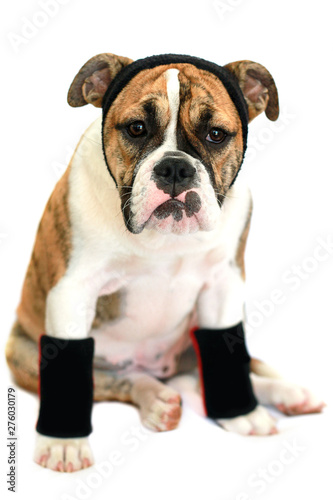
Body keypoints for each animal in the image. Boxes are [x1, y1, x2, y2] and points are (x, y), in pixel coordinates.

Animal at [3, 52, 322, 470]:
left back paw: (286, 393)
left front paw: (242, 412)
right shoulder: (72, 292)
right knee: (116, 381)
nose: (174, 168)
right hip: (24, 350)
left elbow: (226, 348)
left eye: (216, 134)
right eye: (136, 129)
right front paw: (63, 443)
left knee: (214, 371)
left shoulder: (223, 286)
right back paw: (156, 399)